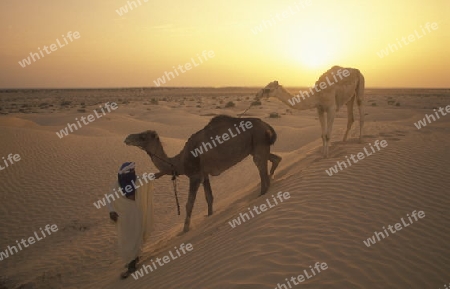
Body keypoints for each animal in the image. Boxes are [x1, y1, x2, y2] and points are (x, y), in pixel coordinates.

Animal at [124, 113, 282, 231]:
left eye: (143, 137)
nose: (127, 138)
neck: (179, 162)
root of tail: (267, 126)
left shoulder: (195, 176)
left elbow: (189, 204)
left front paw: (184, 230)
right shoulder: (204, 175)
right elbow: (209, 197)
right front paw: (210, 215)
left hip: (258, 141)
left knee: (261, 168)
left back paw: (263, 192)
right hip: (256, 147)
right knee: (275, 159)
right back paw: (271, 179)